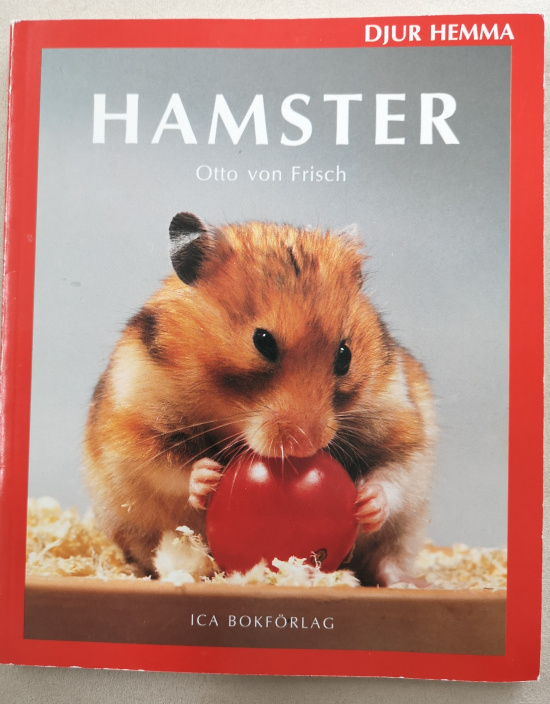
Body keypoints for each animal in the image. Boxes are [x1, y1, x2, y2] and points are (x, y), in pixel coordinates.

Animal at [83, 212, 436, 585]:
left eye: (345, 355)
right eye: (262, 342)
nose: (304, 447)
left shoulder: (401, 423)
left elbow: (394, 472)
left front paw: (366, 502)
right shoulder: (134, 425)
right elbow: (168, 466)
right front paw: (207, 477)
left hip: (407, 532)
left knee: (388, 559)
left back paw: (408, 584)